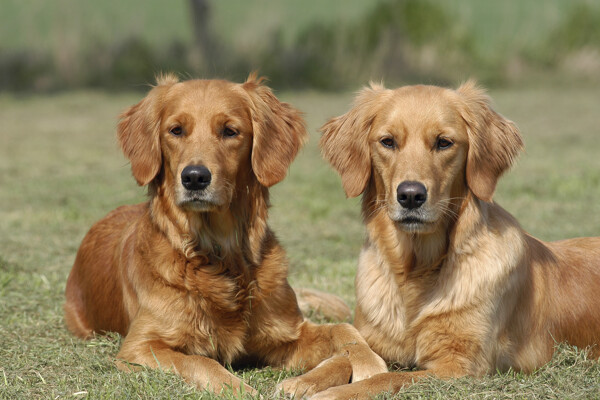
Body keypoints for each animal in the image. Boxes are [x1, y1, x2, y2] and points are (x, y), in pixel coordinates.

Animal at [63, 73, 384, 396]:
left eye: (230, 131)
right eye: (176, 130)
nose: (194, 177)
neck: (219, 256)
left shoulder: (288, 334)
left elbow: (343, 332)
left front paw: (358, 363)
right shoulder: (139, 347)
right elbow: (199, 361)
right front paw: (243, 391)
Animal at [312, 82, 600, 400]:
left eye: (443, 143)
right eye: (387, 142)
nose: (410, 195)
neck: (417, 270)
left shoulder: (459, 365)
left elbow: (387, 378)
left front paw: (334, 393)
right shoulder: (375, 339)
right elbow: (346, 354)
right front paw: (303, 381)